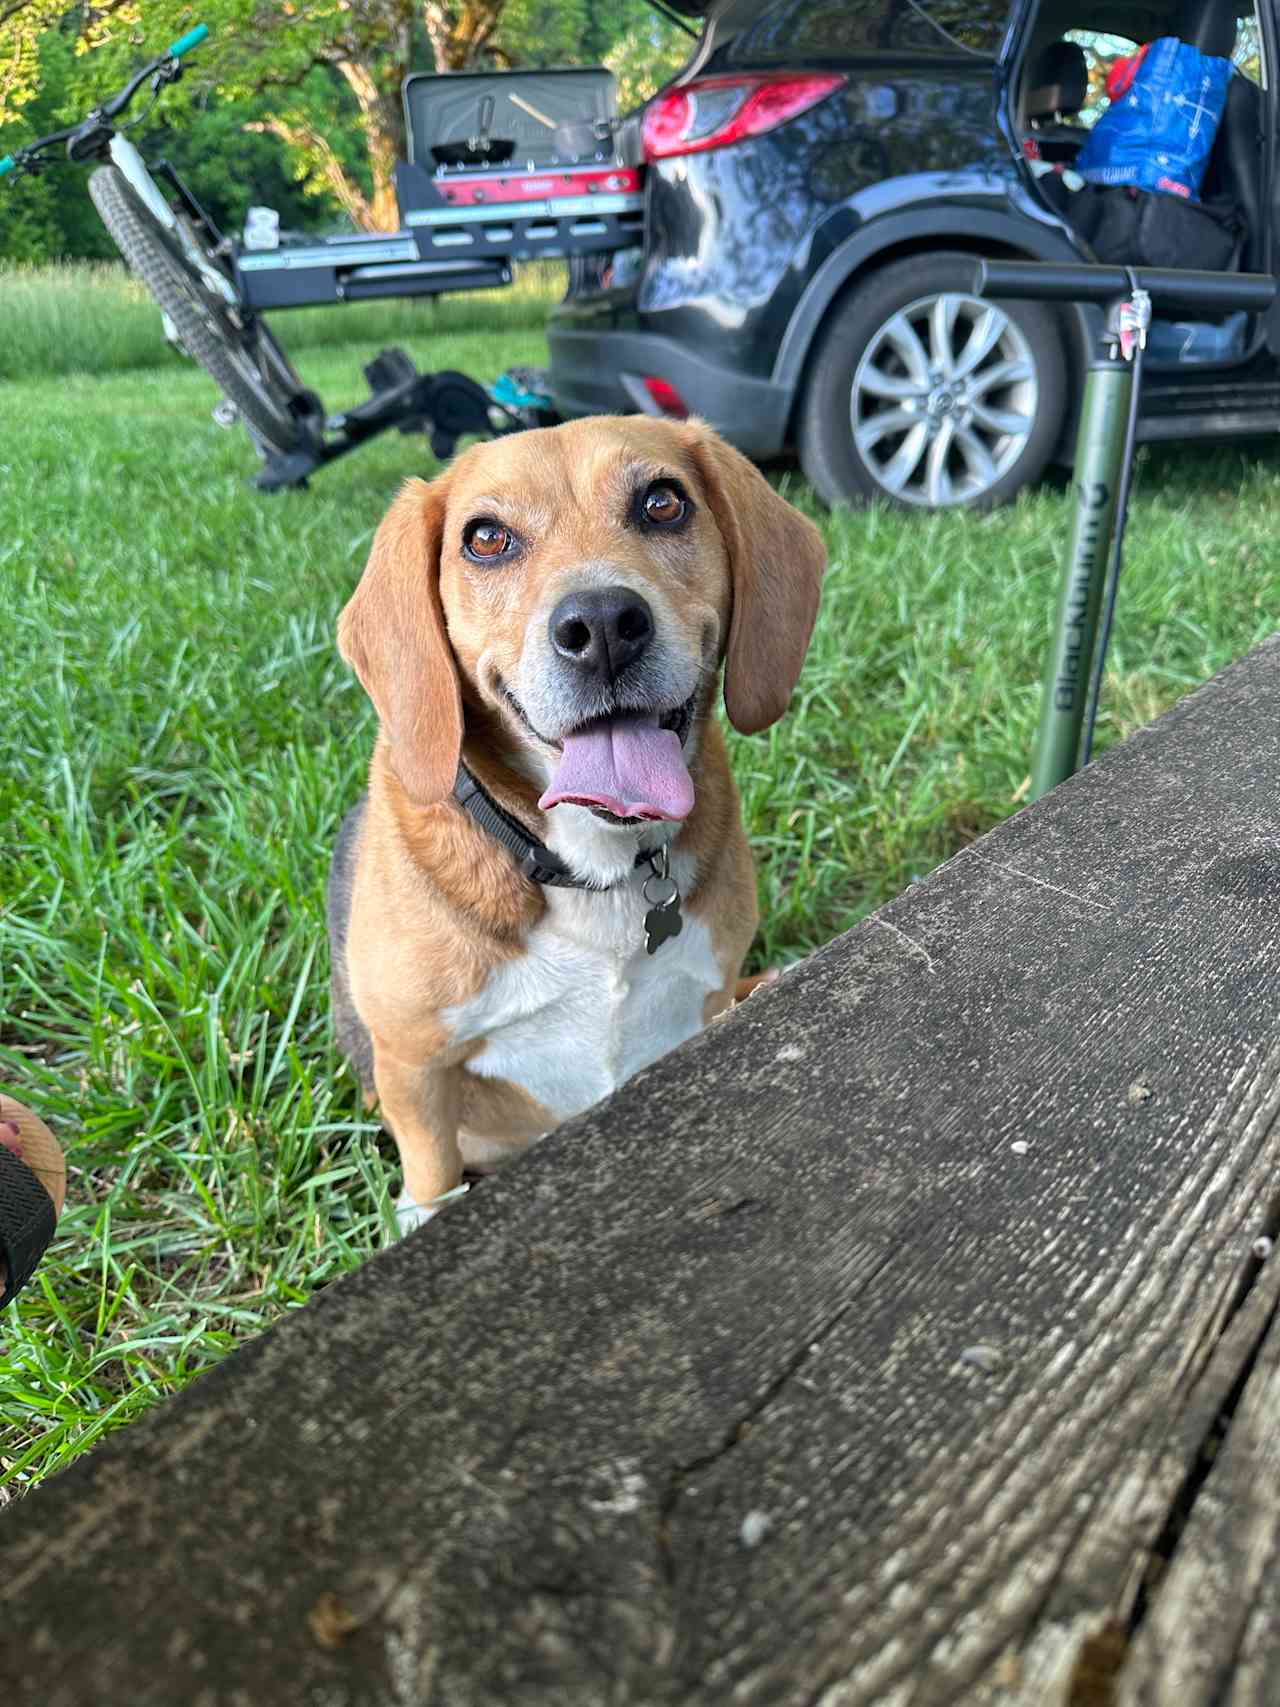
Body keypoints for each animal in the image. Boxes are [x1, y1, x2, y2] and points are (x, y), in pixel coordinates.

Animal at [331, 419, 826, 1235]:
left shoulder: (701, 1002)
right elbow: (433, 1173)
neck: (594, 865)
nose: (601, 625)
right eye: (486, 538)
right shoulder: (411, 1064)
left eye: (663, 501)